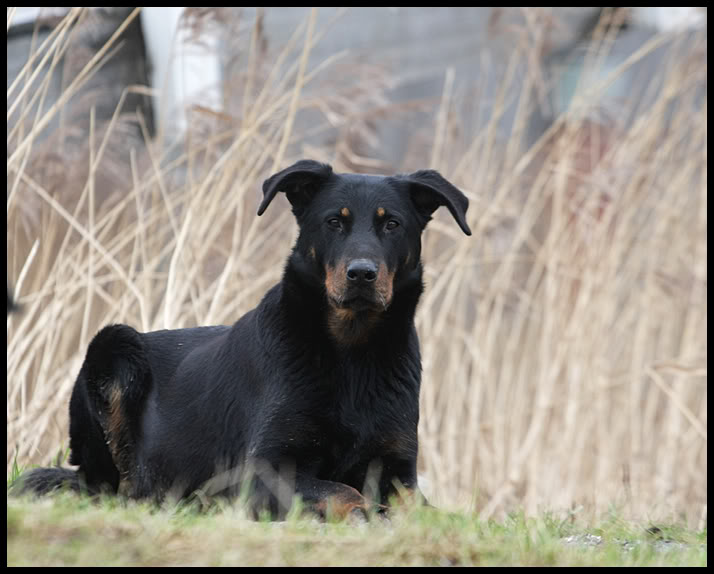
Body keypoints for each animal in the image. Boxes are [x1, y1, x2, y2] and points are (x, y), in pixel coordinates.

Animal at [16, 160, 470, 520]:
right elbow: (342, 490)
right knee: (117, 489)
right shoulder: (264, 471)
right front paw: (364, 514)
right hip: (114, 348)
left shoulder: (398, 469)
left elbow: (419, 506)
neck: (352, 352)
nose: (361, 274)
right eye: (334, 222)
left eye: (392, 223)